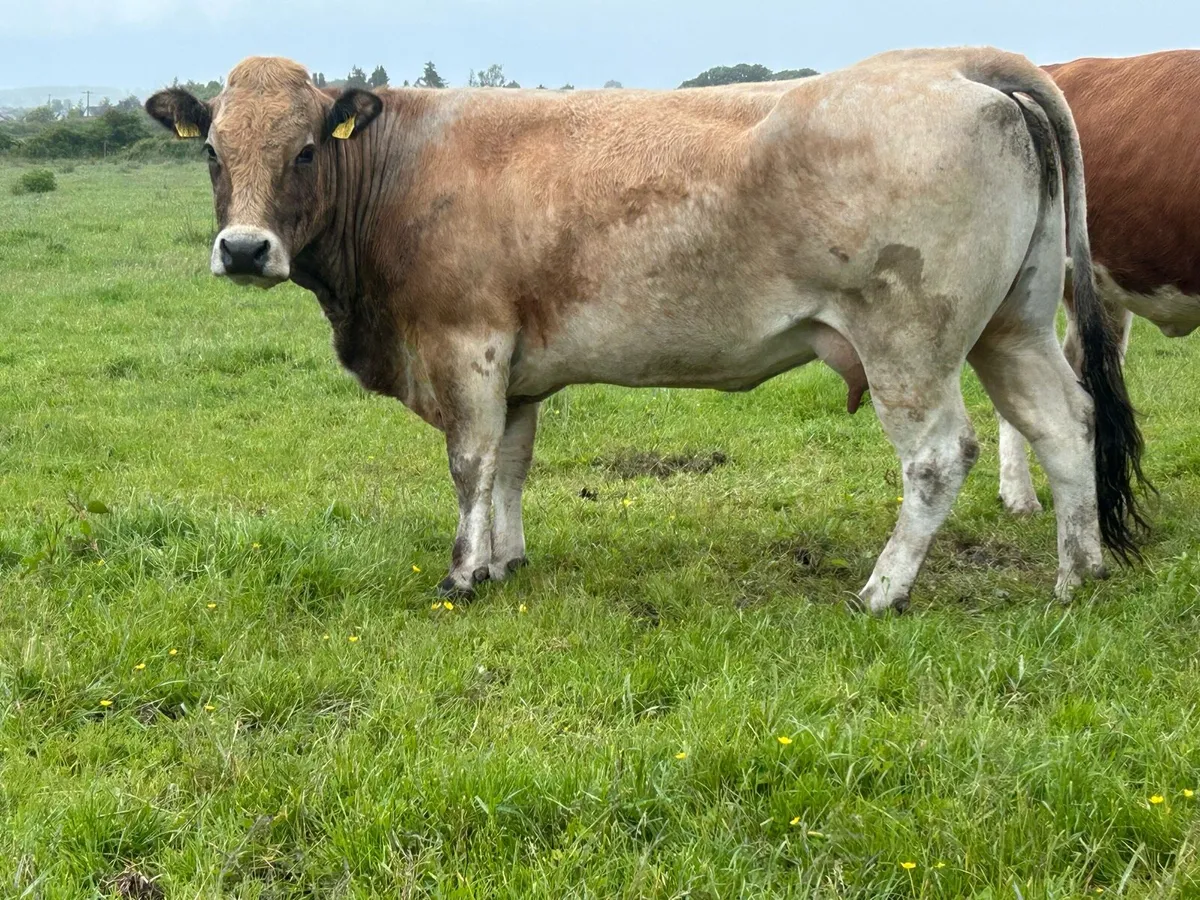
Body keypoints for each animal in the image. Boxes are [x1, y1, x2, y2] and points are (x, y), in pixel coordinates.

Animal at [145, 48, 1146, 615]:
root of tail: (958, 65)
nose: (244, 249)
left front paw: (463, 575)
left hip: (911, 341)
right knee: (1065, 424)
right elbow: (512, 466)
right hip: (1014, 324)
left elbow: (469, 466)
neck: (399, 171)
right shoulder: (517, 366)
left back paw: (882, 590)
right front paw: (506, 561)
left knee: (940, 456)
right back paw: (1078, 574)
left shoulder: (465, 348)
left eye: (306, 148)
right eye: (213, 151)